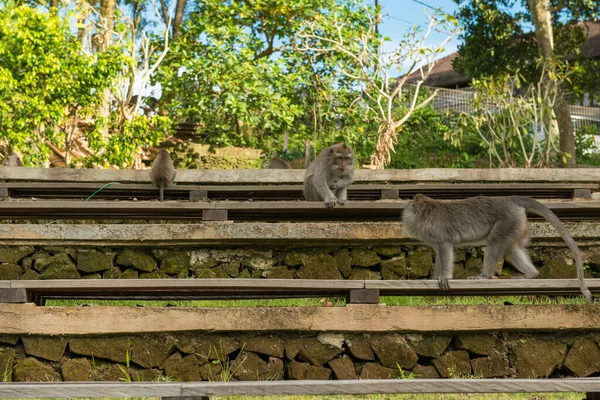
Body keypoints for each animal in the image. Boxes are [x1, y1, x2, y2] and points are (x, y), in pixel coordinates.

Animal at [400, 194, 592, 300]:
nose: (404, 213)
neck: (425, 212)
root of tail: (510, 199)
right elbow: (439, 254)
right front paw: (435, 277)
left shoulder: (437, 233)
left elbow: (445, 248)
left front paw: (444, 277)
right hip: (516, 222)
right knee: (511, 247)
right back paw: (531, 274)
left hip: (508, 219)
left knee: (494, 241)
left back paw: (484, 276)